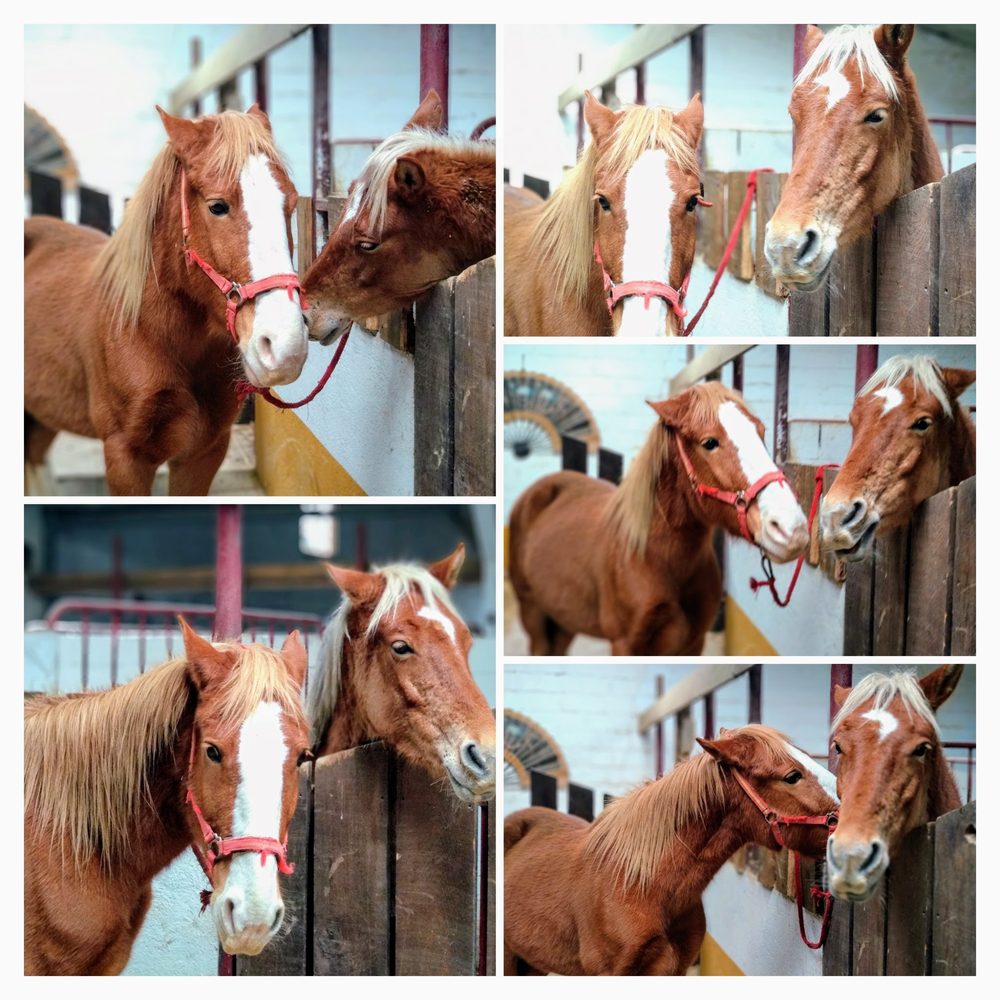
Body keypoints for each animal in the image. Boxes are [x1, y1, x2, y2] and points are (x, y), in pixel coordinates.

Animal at [24, 105, 308, 495]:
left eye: (290, 204)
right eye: (217, 206)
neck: (145, 331)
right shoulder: (125, 459)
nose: (285, 347)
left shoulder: (204, 453)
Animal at [508, 382, 809, 655]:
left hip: (563, 620)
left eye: (761, 432)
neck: (654, 556)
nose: (792, 529)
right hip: (533, 614)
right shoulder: (625, 645)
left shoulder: (692, 644)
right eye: (709, 442)